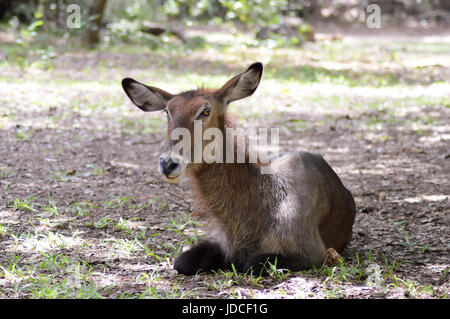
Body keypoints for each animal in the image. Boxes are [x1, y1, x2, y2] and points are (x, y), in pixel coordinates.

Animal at [122, 62, 356, 276]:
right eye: (167, 112)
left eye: (205, 111)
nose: (168, 163)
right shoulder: (220, 241)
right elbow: (182, 261)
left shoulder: (313, 252)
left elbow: (251, 263)